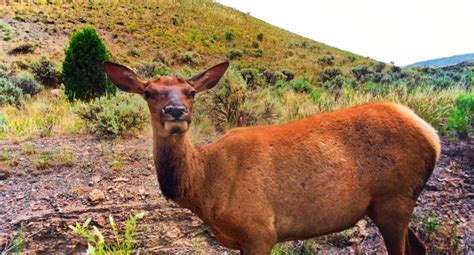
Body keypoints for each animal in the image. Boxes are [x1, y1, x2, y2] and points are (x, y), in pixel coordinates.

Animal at [103, 60, 440, 254]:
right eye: (148, 92)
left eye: (191, 92)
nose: (175, 111)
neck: (205, 189)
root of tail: (432, 135)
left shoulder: (259, 230)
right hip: (389, 204)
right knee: (420, 248)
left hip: (395, 198)